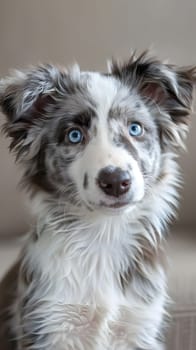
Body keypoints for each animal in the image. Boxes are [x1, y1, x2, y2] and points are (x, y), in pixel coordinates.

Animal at [0, 52, 195, 350]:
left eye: (135, 128)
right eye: (74, 135)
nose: (116, 181)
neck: (103, 236)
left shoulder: (140, 325)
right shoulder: (47, 324)